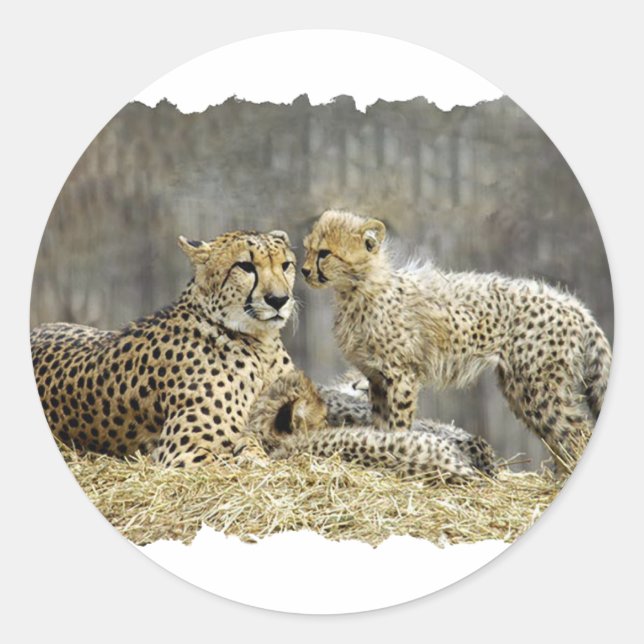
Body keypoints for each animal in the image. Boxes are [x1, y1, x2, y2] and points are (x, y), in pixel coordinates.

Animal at [301, 209, 612, 475]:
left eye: (325, 253)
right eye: (308, 248)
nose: (303, 271)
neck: (359, 289)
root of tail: (572, 304)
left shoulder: (401, 375)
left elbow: (398, 421)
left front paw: (399, 448)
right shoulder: (376, 377)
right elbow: (379, 422)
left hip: (536, 387)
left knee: (576, 430)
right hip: (522, 387)